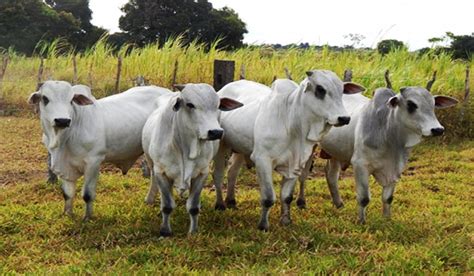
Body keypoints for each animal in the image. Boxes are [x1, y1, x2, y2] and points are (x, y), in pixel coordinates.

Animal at [28, 81, 171, 221]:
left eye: (71, 100)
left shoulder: (94, 162)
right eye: (45, 98)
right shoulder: (64, 166)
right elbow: (67, 194)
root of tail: (168, 91)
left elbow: (87, 194)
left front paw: (88, 217)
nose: (62, 120)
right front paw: (67, 214)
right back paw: (149, 200)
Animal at [143, 83, 243, 236]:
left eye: (218, 105)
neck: (185, 148)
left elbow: (193, 206)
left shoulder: (202, 173)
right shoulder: (161, 172)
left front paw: (193, 232)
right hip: (151, 163)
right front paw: (165, 231)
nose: (216, 132)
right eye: (190, 104)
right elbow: (167, 205)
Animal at [213, 69, 364, 231]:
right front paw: (263, 225)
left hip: (241, 150)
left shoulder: (297, 163)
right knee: (218, 175)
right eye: (320, 89)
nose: (344, 118)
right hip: (221, 145)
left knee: (232, 172)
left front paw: (286, 221)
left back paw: (231, 201)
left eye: (342, 91)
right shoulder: (262, 160)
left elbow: (286, 196)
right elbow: (268, 198)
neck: (291, 120)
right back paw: (220, 204)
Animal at [316, 86, 458, 224]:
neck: (388, 133)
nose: (438, 129)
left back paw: (339, 204)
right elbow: (364, 198)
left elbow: (388, 198)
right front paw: (361, 222)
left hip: (335, 153)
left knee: (331, 174)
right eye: (411, 104)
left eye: (433, 104)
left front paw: (387, 219)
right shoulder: (360, 165)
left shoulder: (396, 168)